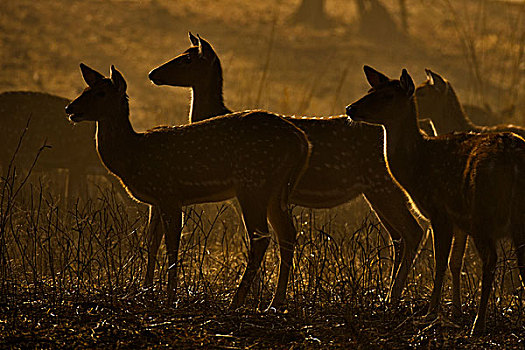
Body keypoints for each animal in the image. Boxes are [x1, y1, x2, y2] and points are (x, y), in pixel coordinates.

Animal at [65, 63, 312, 308]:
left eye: (101, 93)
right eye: (85, 89)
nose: (70, 108)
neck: (133, 155)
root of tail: (302, 142)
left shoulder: (168, 192)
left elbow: (172, 244)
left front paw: (170, 296)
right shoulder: (155, 201)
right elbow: (152, 242)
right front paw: (146, 290)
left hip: (253, 183)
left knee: (261, 237)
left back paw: (236, 302)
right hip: (275, 190)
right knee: (287, 234)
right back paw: (275, 302)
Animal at [147, 32, 426, 306]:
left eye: (187, 59)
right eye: (182, 53)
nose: (153, 73)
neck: (217, 113)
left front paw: (255, 293)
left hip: (382, 184)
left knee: (411, 231)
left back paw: (392, 297)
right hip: (377, 191)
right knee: (398, 237)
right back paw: (387, 294)